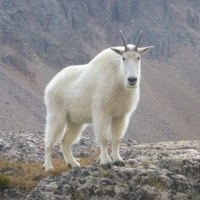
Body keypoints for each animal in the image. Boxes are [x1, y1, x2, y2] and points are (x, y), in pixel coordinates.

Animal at [43, 30, 153, 171]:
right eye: (123, 58)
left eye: (138, 57)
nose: (132, 79)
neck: (118, 79)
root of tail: (50, 85)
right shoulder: (101, 111)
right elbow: (104, 139)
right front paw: (106, 162)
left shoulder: (121, 115)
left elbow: (117, 138)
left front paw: (118, 160)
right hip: (57, 115)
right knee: (49, 142)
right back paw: (48, 167)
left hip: (74, 121)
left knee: (65, 141)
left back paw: (73, 164)